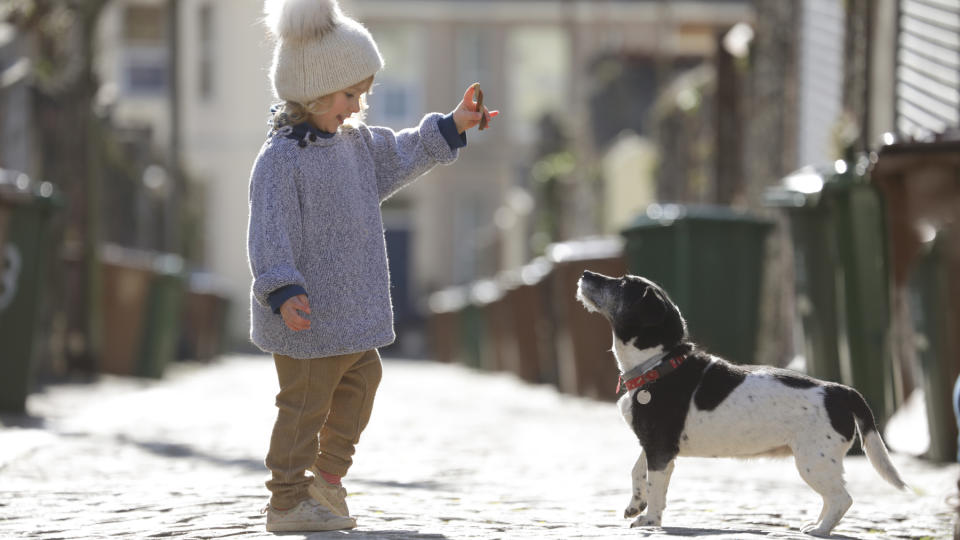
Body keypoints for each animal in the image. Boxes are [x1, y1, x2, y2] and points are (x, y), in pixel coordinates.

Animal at [576, 270, 908, 536]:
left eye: (622, 284)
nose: (585, 273)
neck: (658, 363)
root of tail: (839, 390)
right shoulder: (655, 445)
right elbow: (637, 472)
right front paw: (635, 505)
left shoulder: (660, 448)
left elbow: (656, 486)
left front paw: (650, 521)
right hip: (818, 462)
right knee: (833, 498)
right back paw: (815, 525)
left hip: (814, 461)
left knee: (842, 499)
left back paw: (819, 531)